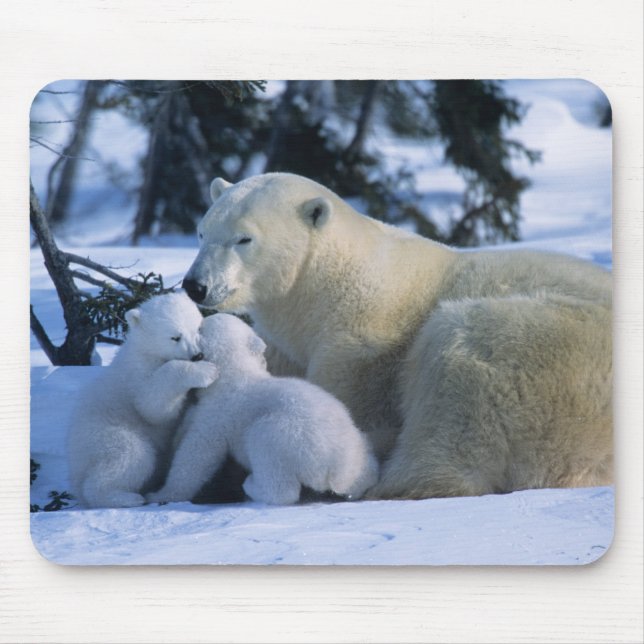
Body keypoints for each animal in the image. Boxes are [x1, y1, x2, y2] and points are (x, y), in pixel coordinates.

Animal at [67, 292, 218, 508]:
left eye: (197, 328)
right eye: (175, 337)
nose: (197, 355)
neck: (147, 350)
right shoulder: (137, 375)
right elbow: (153, 406)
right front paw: (206, 371)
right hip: (104, 434)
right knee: (132, 455)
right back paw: (125, 497)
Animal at [146, 313, 379, 506]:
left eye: (200, 327)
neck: (234, 375)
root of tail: (337, 468)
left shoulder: (218, 414)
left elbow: (196, 455)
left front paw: (161, 494)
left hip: (288, 437)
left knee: (271, 460)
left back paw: (252, 484)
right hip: (356, 444)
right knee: (366, 466)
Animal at [181, 172, 613, 500]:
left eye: (244, 239)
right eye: (201, 232)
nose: (195, 285)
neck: (326, 288)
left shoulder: (362, 347)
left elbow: (342, 409)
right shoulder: (288, 345)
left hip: (539, 350)